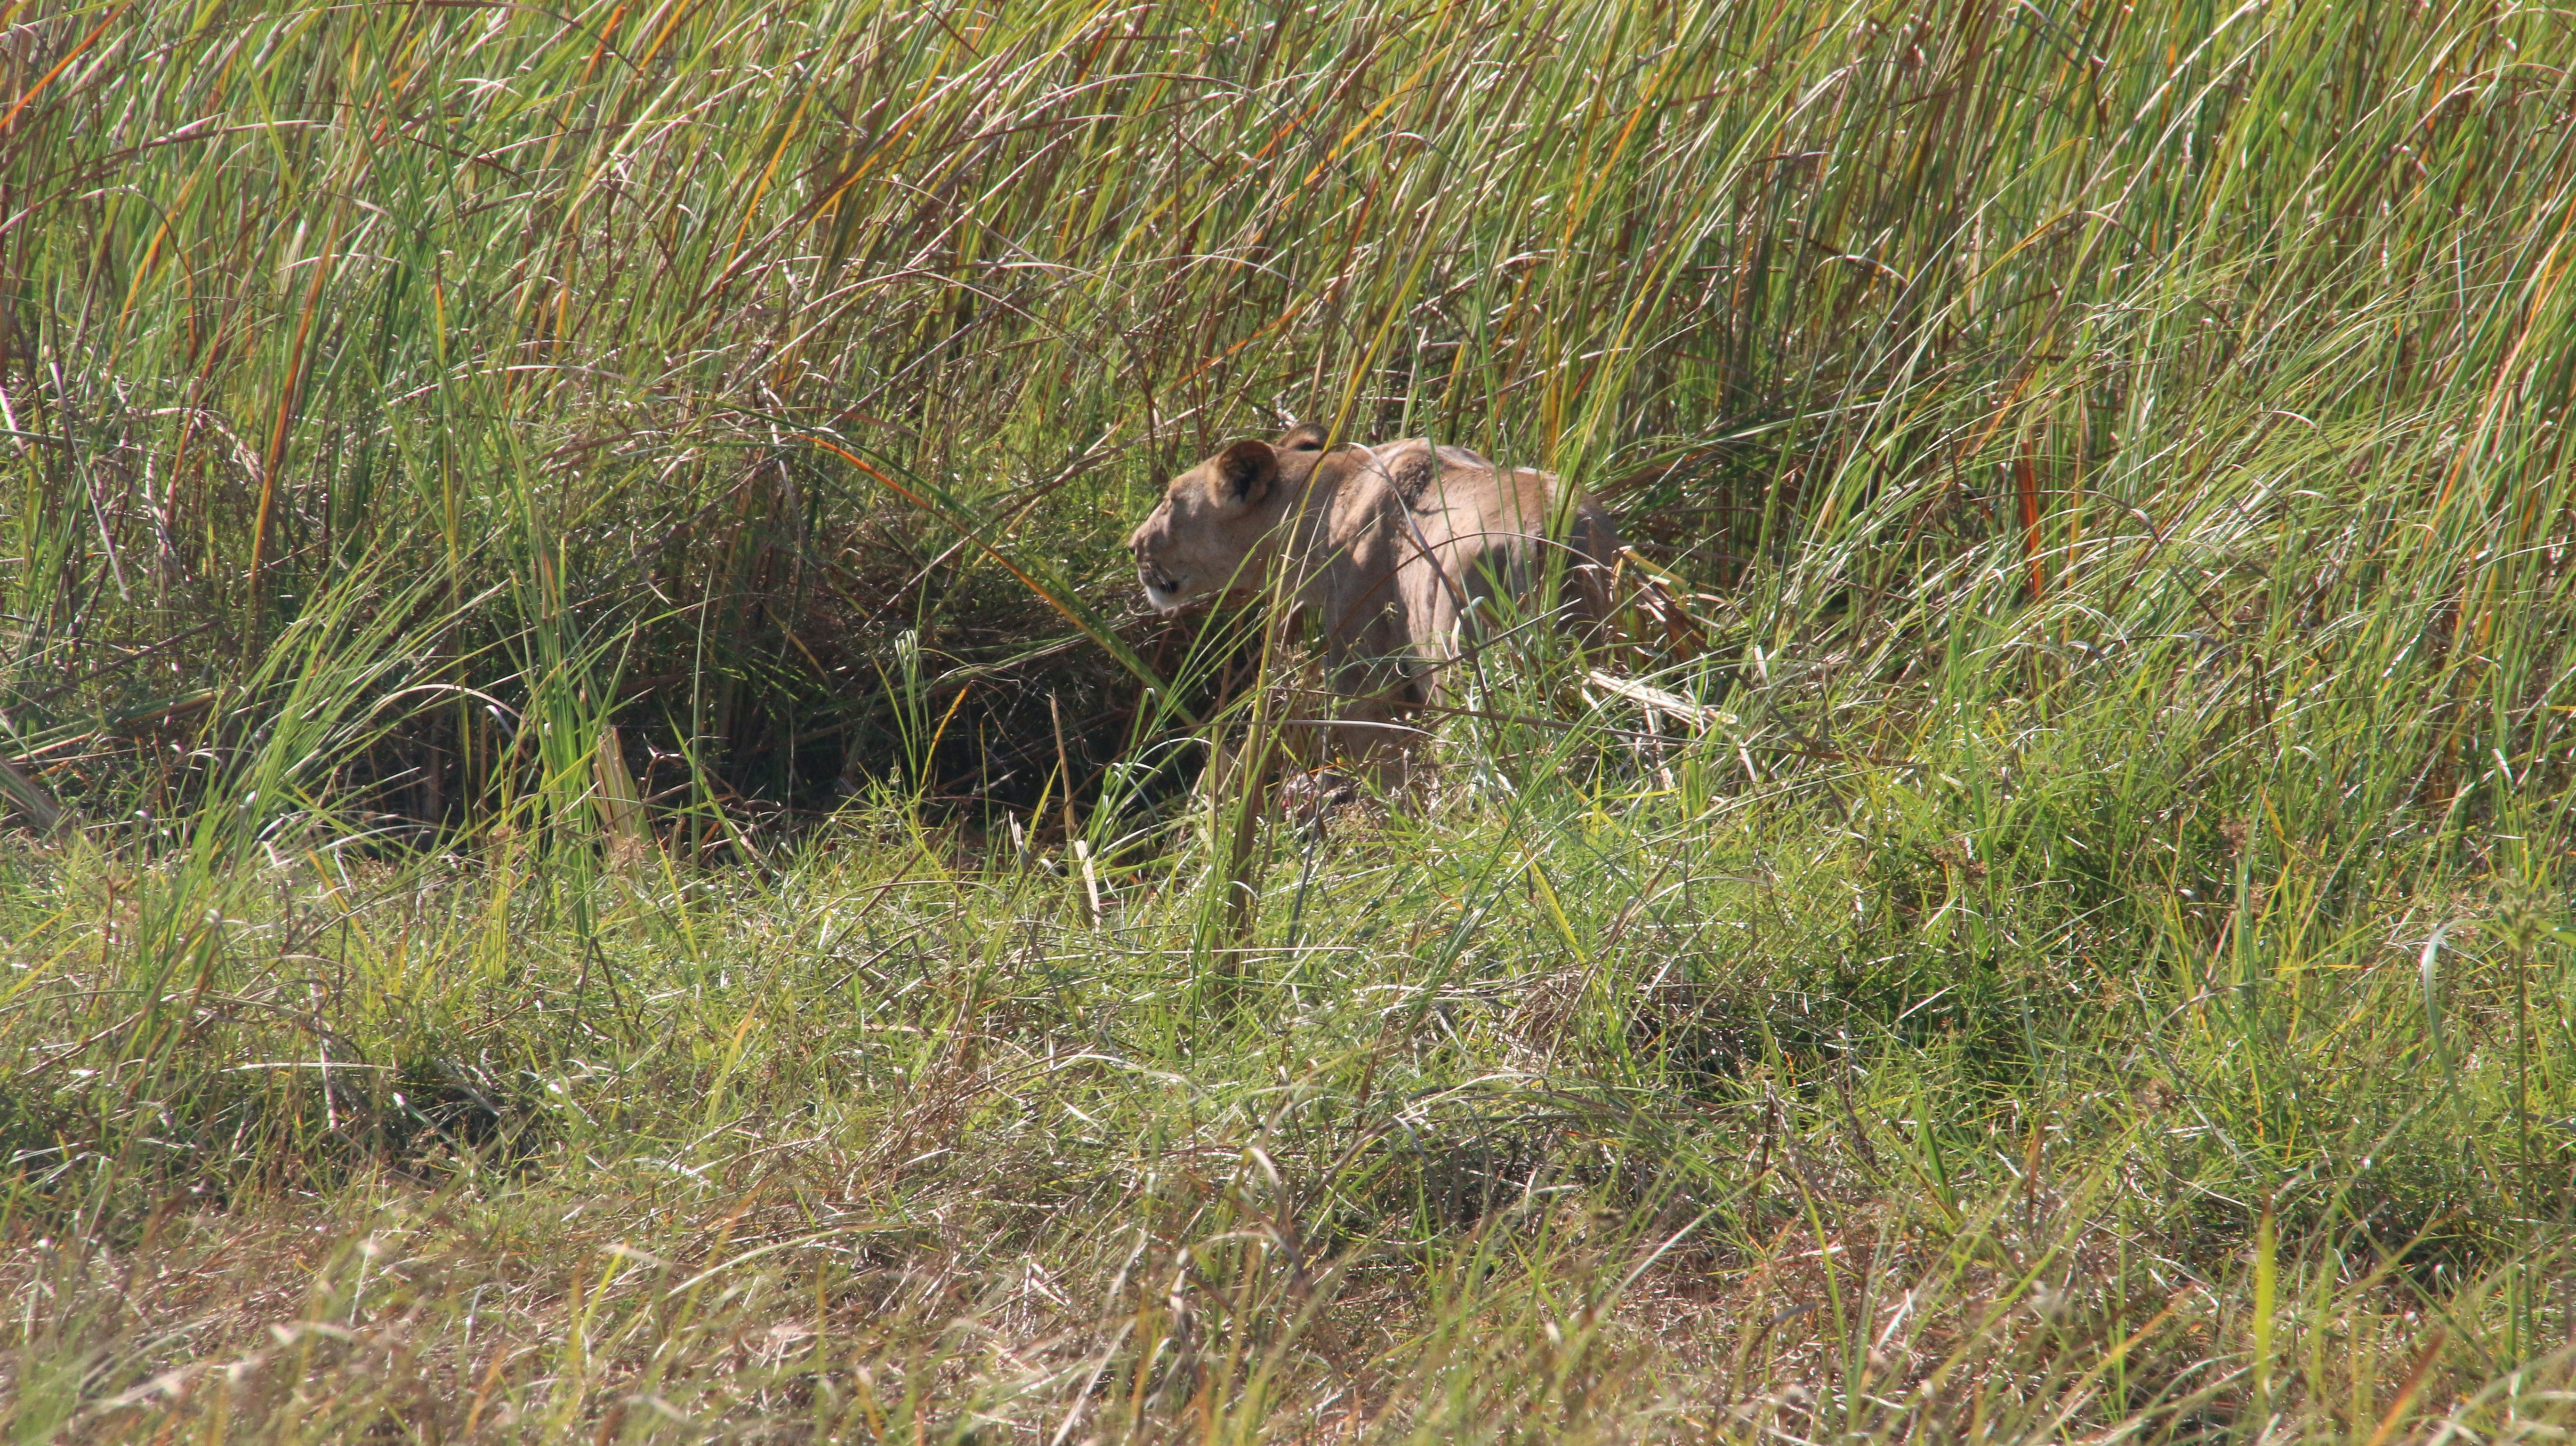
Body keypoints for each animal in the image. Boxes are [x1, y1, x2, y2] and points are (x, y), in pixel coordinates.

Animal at [1127, 422, 1624, 776]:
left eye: (1171, 500)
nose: (1133, 546)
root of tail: (1555, 534)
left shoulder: (1364, 676)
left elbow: (1384, 768)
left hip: (1465, 674)